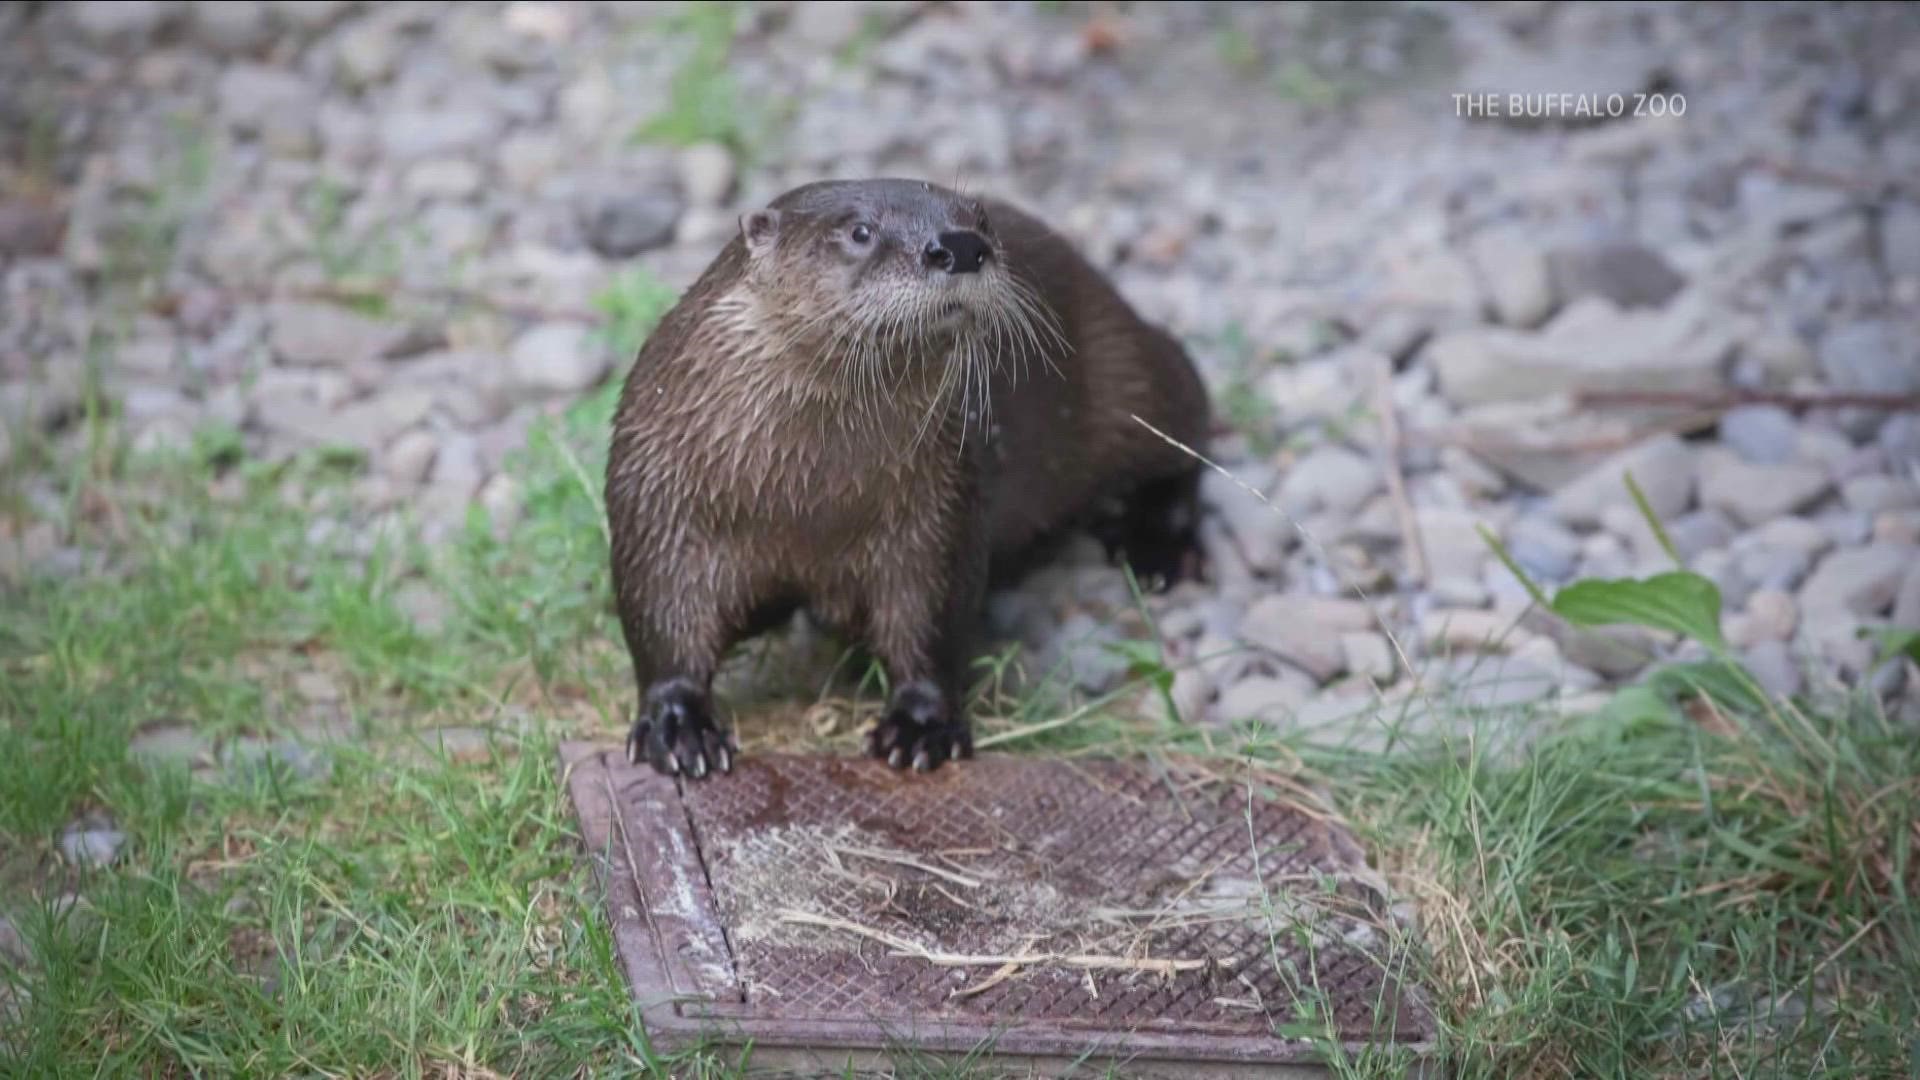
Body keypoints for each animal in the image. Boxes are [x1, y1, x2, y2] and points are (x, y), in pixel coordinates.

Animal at [614, 180, 1205, 776]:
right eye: (860, 231)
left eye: (981, 221)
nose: (962, 245)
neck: (805, 504)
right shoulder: (660, 500)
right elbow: (661, 615)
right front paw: (678, 725)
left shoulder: (941, 510)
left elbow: (931, 619)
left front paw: (922, 725)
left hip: (1123, 373)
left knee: (1182, 411)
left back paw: (1157, 548)